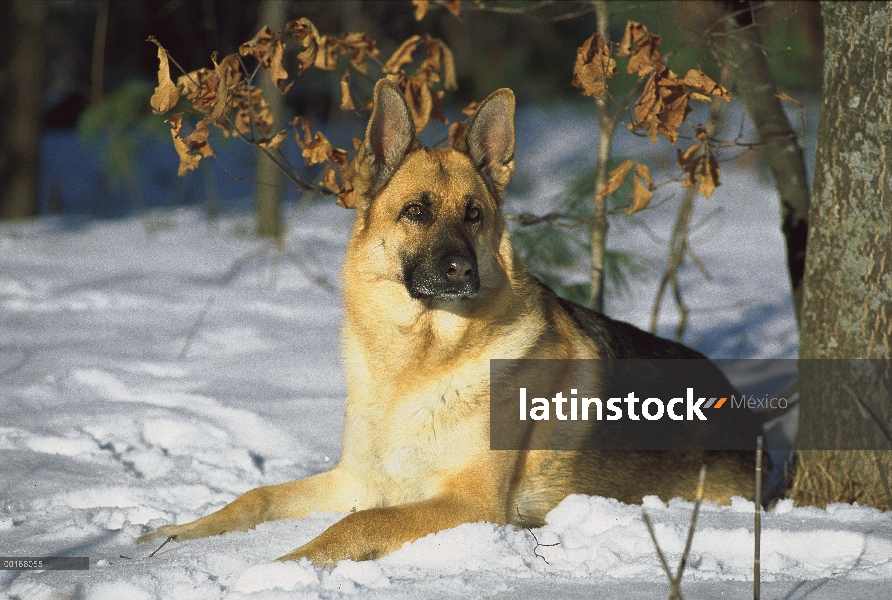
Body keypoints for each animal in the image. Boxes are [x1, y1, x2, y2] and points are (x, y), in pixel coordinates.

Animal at [138, 78, 760, 564]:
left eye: (474, 214)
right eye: (416, 211)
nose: (462, 268)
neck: (417, 364)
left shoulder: (467, 504)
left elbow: (360, 522)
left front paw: (289, 563)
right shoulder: (356, 480)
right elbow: (256, 496)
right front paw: (174, 534)